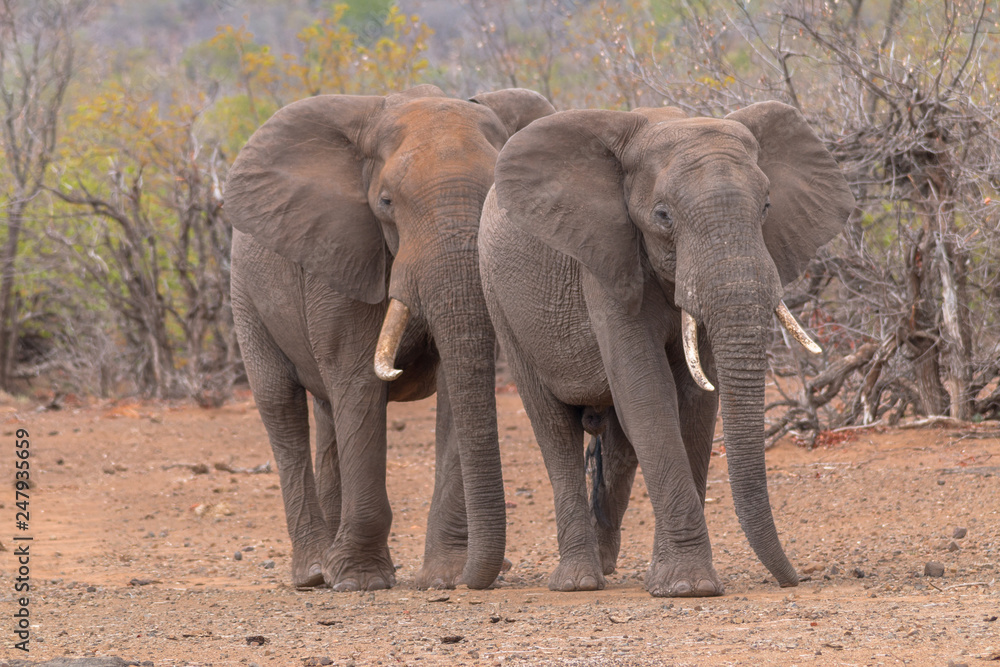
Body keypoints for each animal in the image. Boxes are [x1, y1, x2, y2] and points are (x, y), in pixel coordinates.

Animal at [224, 85, 555, 591]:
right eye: (385, 203)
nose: (478, 578)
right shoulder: (343, 251)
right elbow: (360, 383)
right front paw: (359, 581)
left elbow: (457, 388)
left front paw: (444, 576)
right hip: (245, 291)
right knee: (280, 404)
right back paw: (315, 572)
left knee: (327, 415)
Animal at [478, 102, 854, 597]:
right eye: (662, 216)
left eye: (767, 206)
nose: (797, 579)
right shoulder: (605, 259)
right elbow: (647, 392)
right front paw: (690, 587)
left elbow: (696, 401)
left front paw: (674, 581)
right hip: (500, 303)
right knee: (553, 429)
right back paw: (578, 581)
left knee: (618, 446)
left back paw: (605, 566)